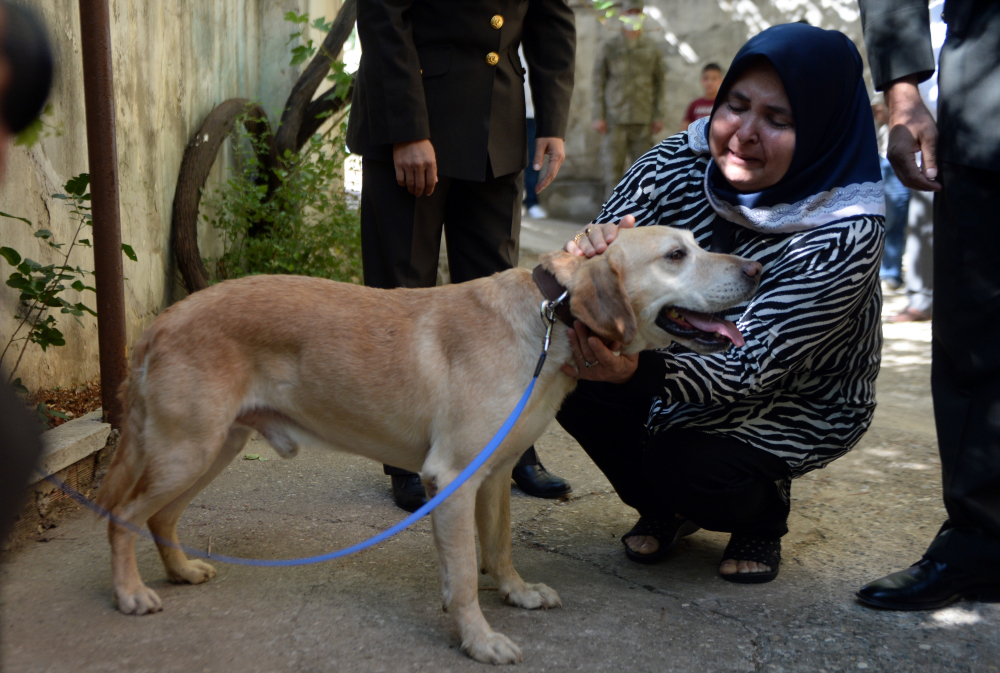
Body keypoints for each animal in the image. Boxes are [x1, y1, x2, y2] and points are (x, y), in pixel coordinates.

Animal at [97, 226, 760, 660]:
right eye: (677, 254)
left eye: (697, 243)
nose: (756, 269)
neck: (550, 317)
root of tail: (162, 320)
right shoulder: (453, 478)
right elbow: (465, 574)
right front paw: (478, 639)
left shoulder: (495, 477)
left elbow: (499, 548)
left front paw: (516, 593)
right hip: (186, 451)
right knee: (123, 515)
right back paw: (129, 593)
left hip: (211, 450)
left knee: (160, 518)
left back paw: (179, 571)